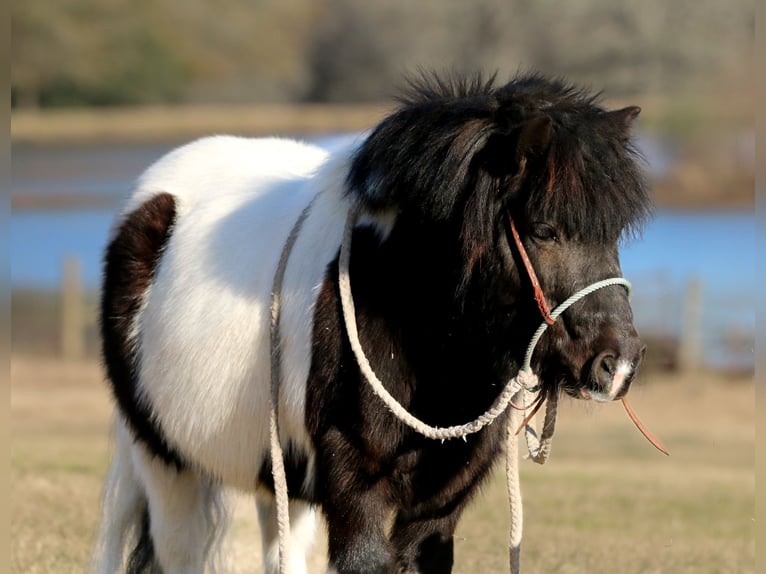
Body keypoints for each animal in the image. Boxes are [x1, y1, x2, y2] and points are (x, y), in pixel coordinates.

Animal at [93, 73, 652, 574]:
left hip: (279, 476)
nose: (617, 364)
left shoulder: (438, 505)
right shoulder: (353, 492)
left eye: (613, 232)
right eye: (543, 230)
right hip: (166, 464)